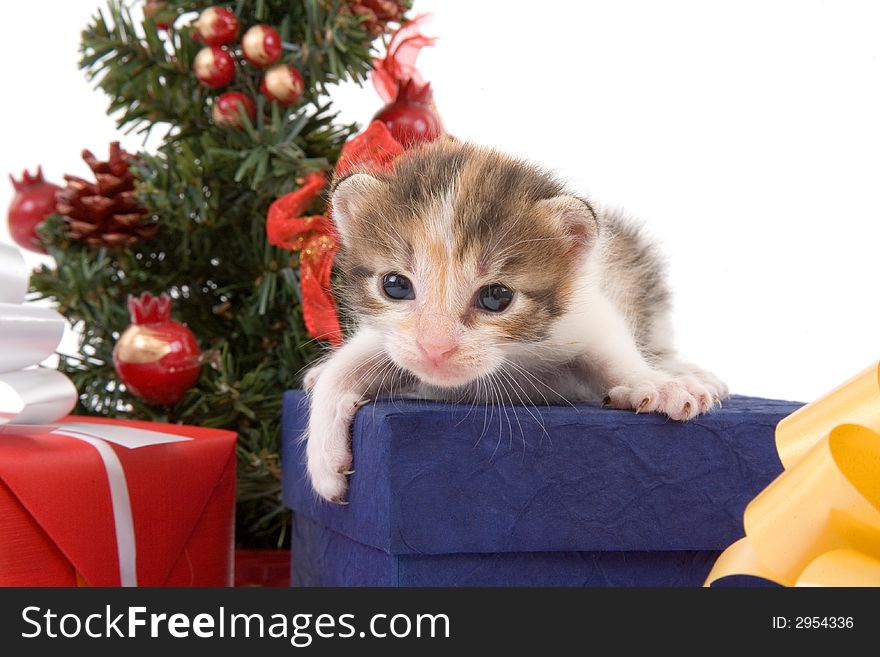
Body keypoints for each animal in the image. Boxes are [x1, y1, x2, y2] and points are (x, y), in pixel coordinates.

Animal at [302, 137, 728, 498]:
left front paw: (660, 385)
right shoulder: (390, 338)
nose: (435, 348)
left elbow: (615, 353)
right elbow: (347, 366)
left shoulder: (584, 314)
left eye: (496, 297)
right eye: (394, 285)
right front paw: (323, 460)